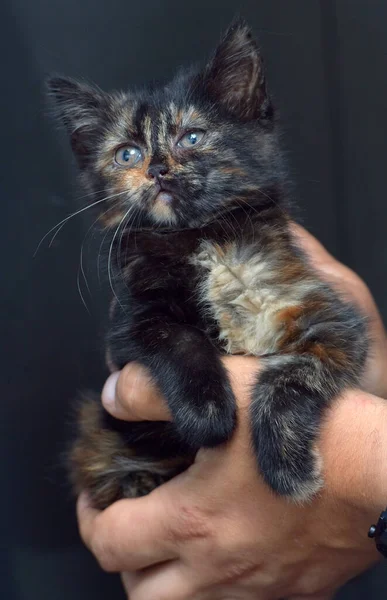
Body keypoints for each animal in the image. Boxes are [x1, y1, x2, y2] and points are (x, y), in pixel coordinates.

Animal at [47, 18, 368, 508]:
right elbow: (178, 340)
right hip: (94, 430)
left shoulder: (330, 324)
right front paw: (207, 412)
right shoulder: (129, 325)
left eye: (192, 138)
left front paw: (287, 468)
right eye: (127, 154)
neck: (202, 240)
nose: (157, 168)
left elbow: (289, 380)